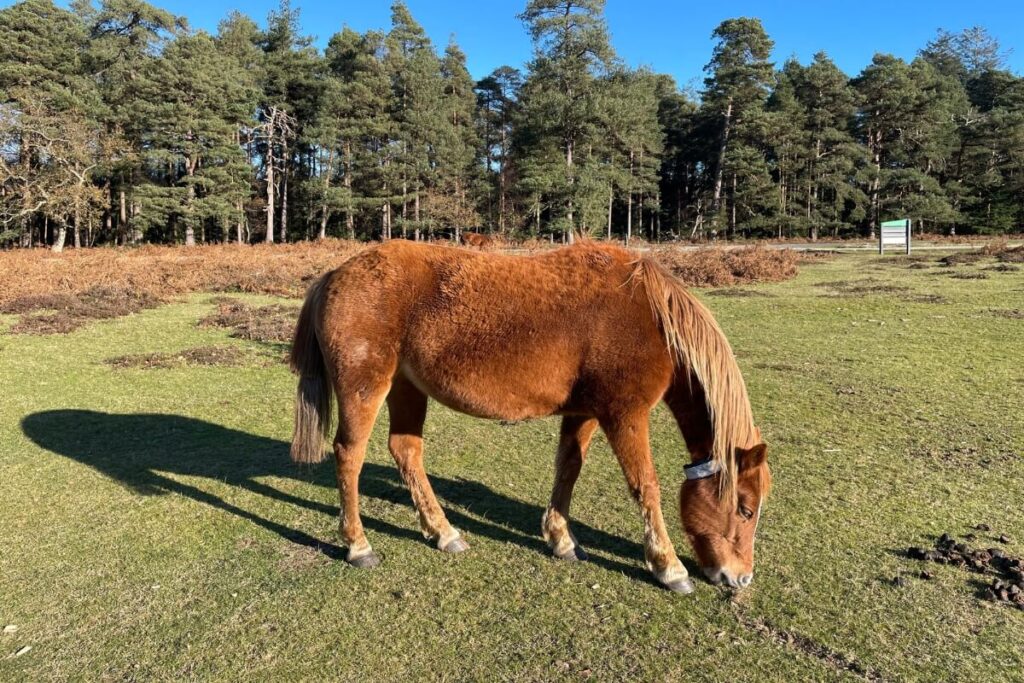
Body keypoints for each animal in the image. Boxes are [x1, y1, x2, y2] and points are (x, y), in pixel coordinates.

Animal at [288, 240, 770, 593]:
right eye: (745, 509)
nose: (740, 578)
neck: (648, 316)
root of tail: (335, 274)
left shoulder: (584, 412)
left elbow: (568, 469)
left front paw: (560, 538)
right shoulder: (624, 415)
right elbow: (645, 486)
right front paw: (669, 567)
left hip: (407, 388)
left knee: (405, 451)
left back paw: (443, 532)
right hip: (365, 389)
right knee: (349, 455)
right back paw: (358, 545)